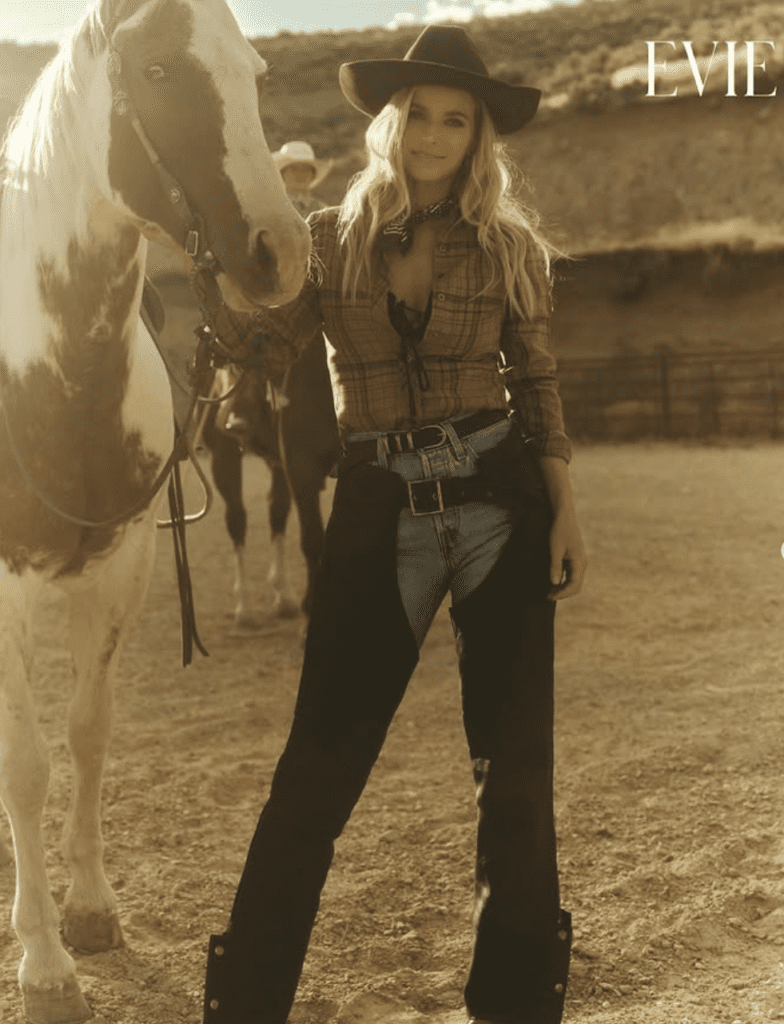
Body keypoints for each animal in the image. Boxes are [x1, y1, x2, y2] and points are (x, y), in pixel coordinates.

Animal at [0, 4, 311, 1019]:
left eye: (253, 71)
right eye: (160, 70)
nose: (282, 252)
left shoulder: (121, 568)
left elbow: (88, 736)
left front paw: (90, 912)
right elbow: (25, 764)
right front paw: (45, 963)